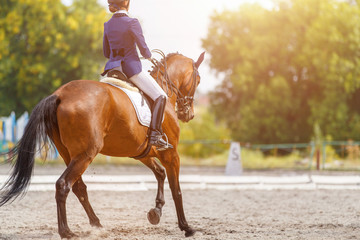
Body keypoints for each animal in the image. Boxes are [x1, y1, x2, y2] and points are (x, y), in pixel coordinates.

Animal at [0, 51, 205, 238]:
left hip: (69, 155)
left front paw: (156, 212)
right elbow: (176, 189)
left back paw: (97, 224)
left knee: (78, 187)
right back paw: (67, 231)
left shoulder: (142, 153)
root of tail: (60, 95)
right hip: (86, 154)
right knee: (63, 185)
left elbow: (160, 173)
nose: (188, 114)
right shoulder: (171, 154)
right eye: (198, 80)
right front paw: (186, 227)